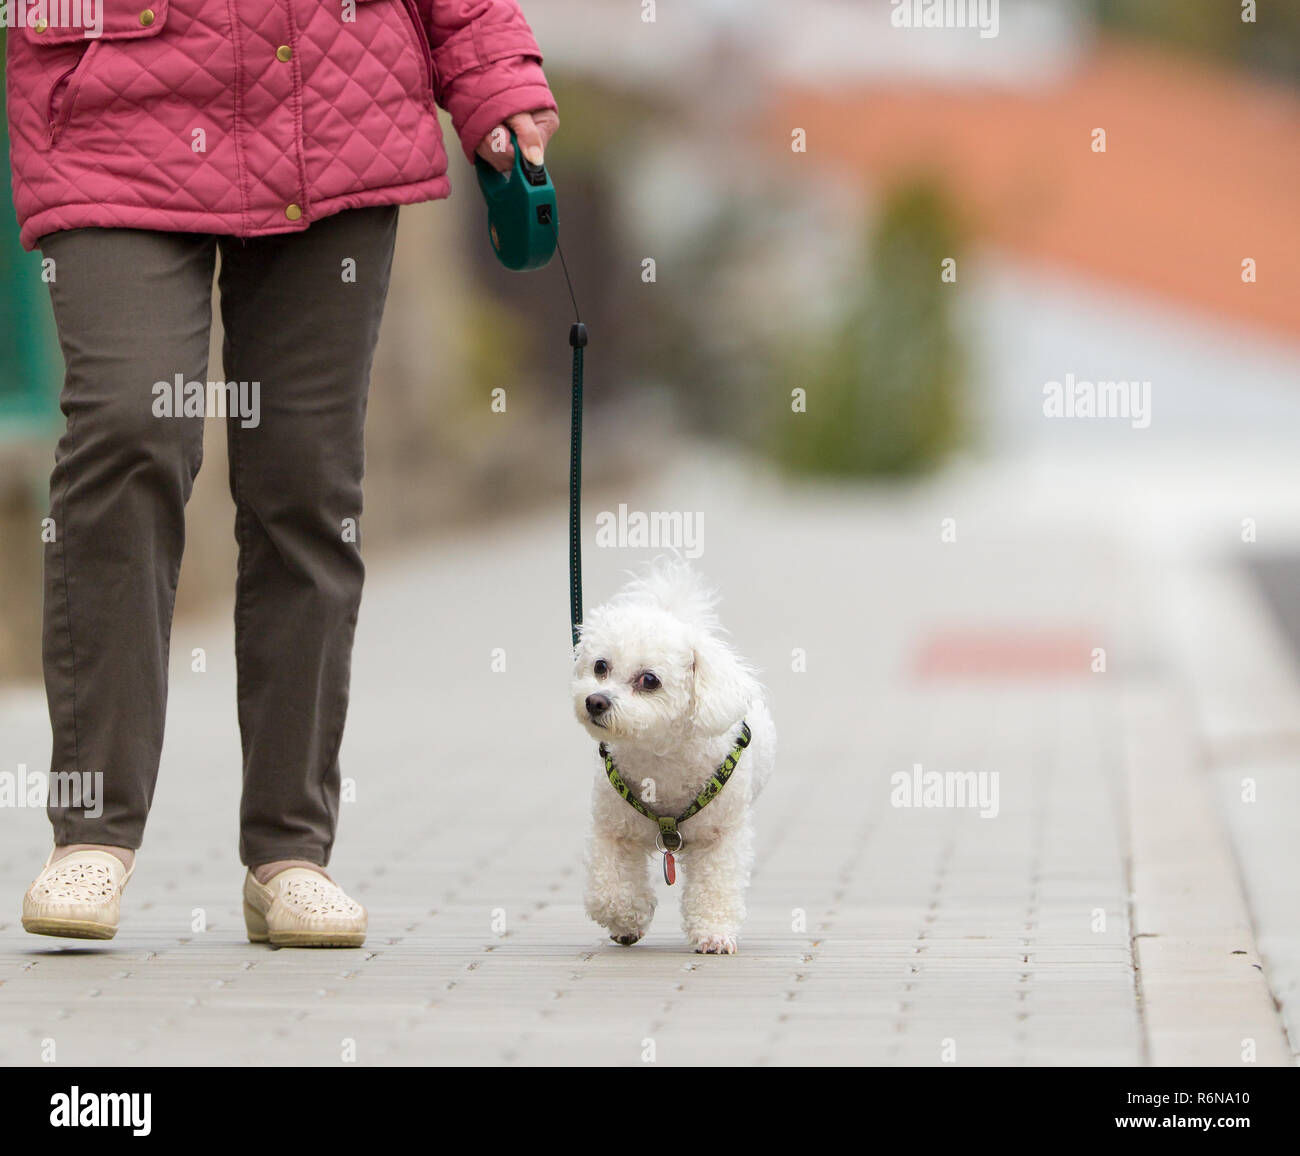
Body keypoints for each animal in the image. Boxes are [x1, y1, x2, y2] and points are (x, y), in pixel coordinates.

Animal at [569, 553, 769, 951]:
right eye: (600, 666)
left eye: (649, 680)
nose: (595, 701)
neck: (659, 757)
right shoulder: (612, 829)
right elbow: (608, 889)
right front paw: (627, 917)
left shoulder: (721, 838)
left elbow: (716, 888)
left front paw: (713, 933)